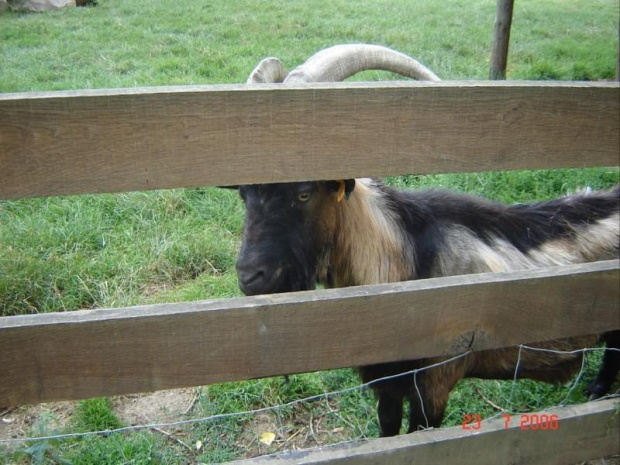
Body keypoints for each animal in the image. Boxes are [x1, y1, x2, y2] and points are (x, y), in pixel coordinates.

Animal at [234, 45, 620, 436]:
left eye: (303, 193)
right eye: (243, 193)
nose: (250, 277)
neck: (405, 266)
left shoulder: (436, 382)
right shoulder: (386, 385)